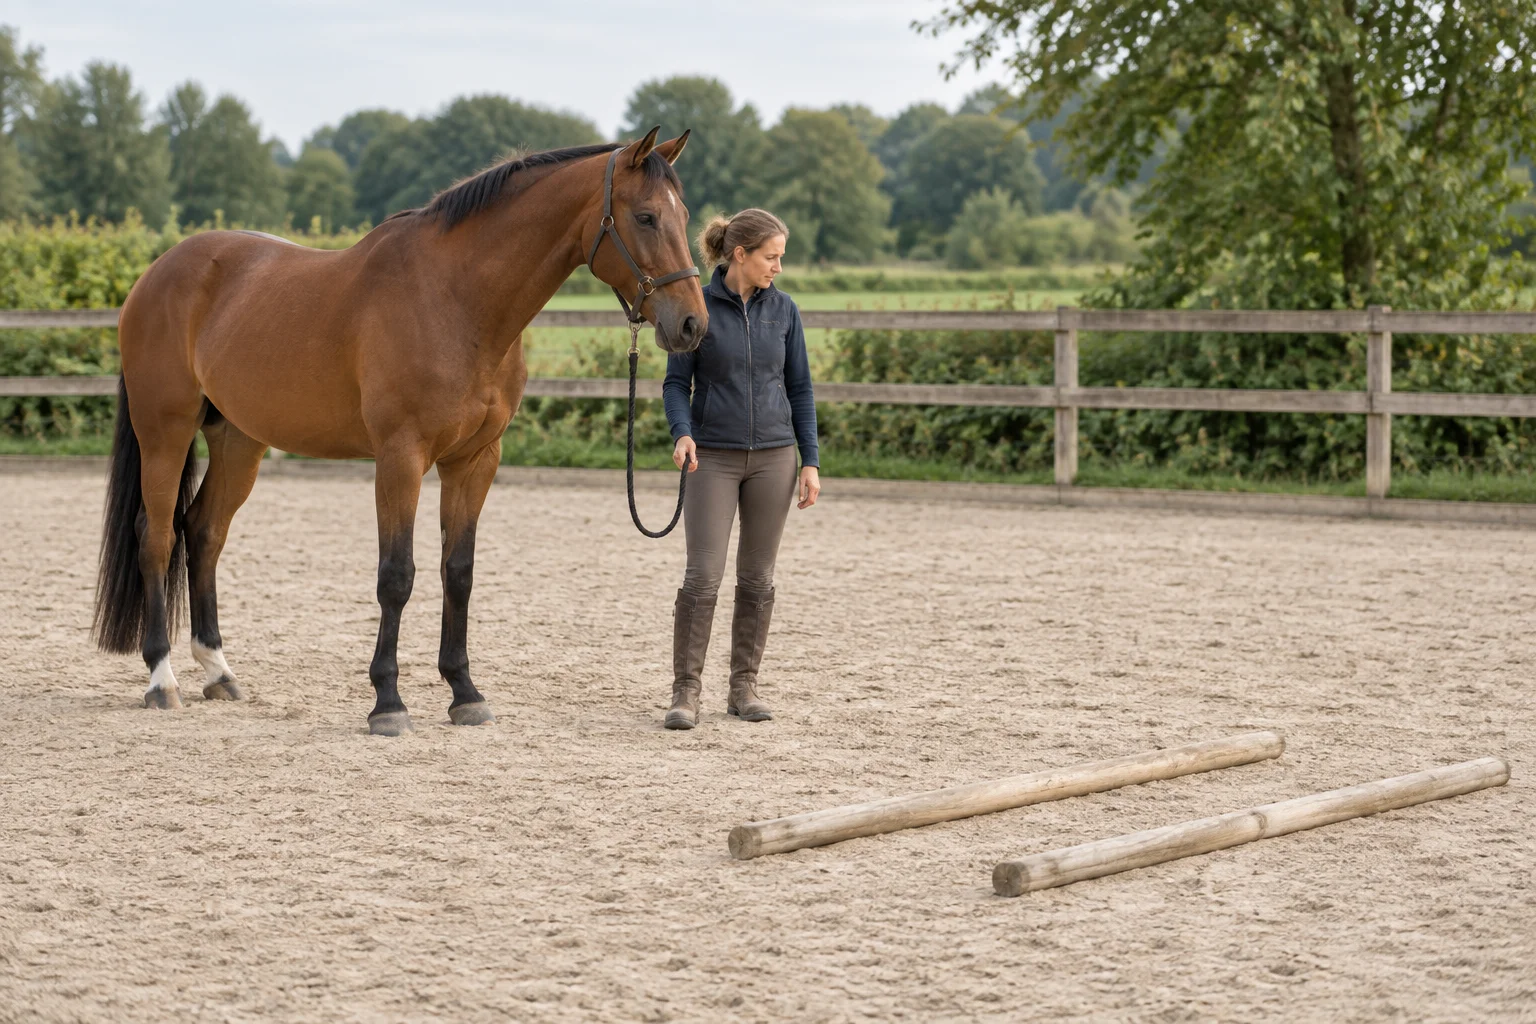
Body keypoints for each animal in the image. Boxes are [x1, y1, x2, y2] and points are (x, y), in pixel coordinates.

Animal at [91, 128, 706, 735]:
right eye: (646, 216)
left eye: (684, 214)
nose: (692, 324)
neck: (457, 300)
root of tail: (156, 274)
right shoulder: (400, 458)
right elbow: (397, 576)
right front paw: (388, 702)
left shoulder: (475, 460)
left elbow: (458, 572)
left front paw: (465, 693)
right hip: (165, 432)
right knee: (157, 536)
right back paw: (162, 680)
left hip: (239, 441)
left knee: (204, 532)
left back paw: (219, 672)